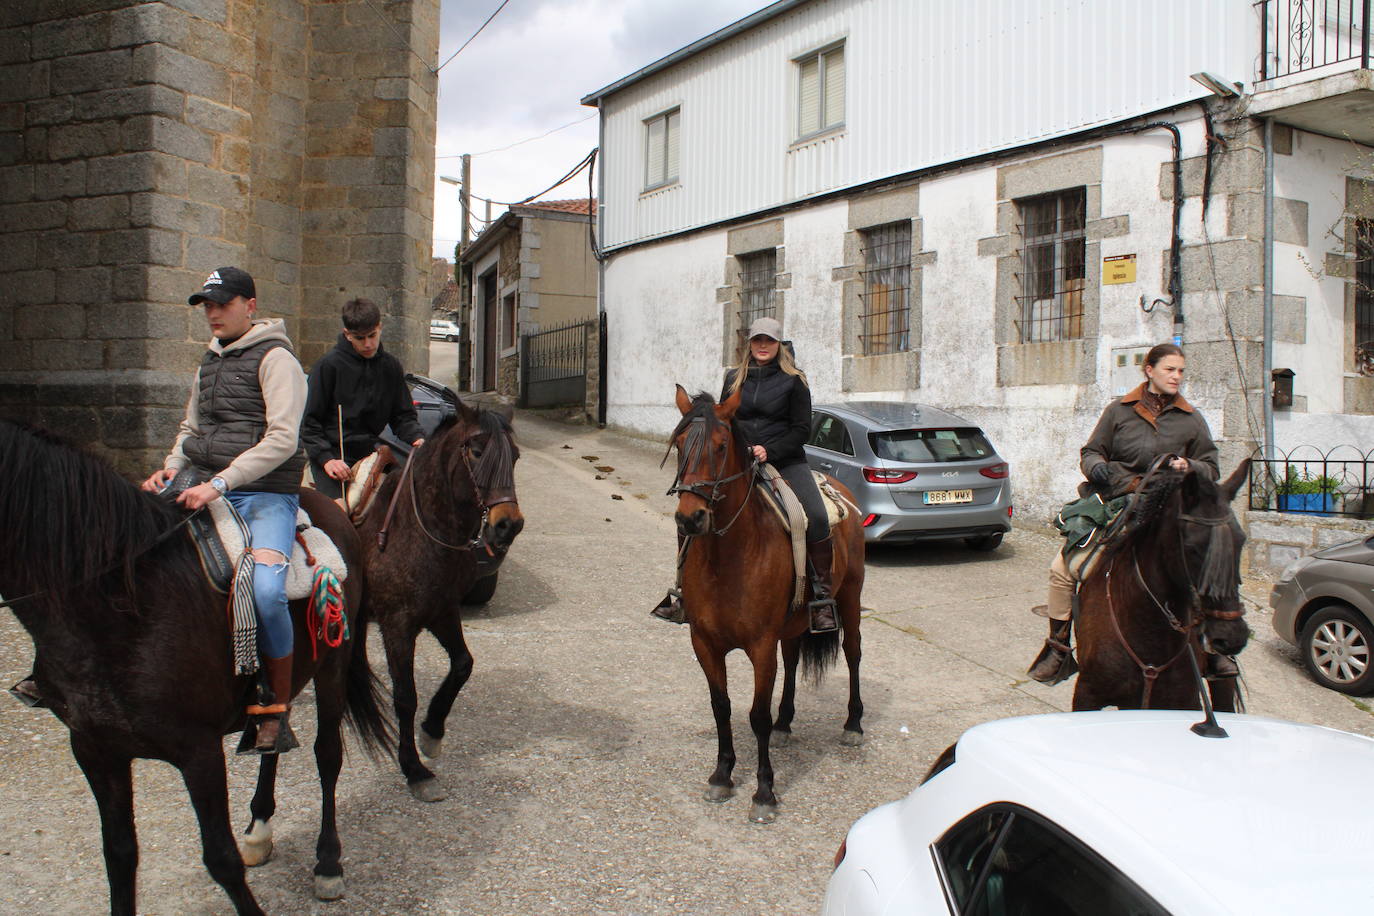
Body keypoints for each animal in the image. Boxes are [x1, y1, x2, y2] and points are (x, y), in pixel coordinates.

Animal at [0, 420, 392, 911]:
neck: (121, 602)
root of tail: (334, 511)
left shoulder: (198, 752)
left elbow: (220, 858)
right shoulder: (94, 749)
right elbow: (119, 855)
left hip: (332, 668)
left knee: (328, 755)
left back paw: (328, 864)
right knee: (273, 737)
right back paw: (260, 830)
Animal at [357, 398, 522, 796]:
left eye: (515, 456)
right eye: (476, 452)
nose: (507, 525)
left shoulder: (442, 611)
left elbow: (463, 664)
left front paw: (432, 731)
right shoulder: (397, 625)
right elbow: (405, 696)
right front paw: (414, 768)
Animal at [662, 387, 857, 823]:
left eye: (721, 446)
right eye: (679, 445)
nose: (690, 519)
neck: (728, 558)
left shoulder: (761, 645)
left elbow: (757, 716)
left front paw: (764, 792)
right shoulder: (704, 642)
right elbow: (721, 706)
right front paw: (722, 775)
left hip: (851, 598)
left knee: (854, 655)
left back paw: (854, 725)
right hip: (794, 623)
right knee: (794, 659)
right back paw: (787, 723)